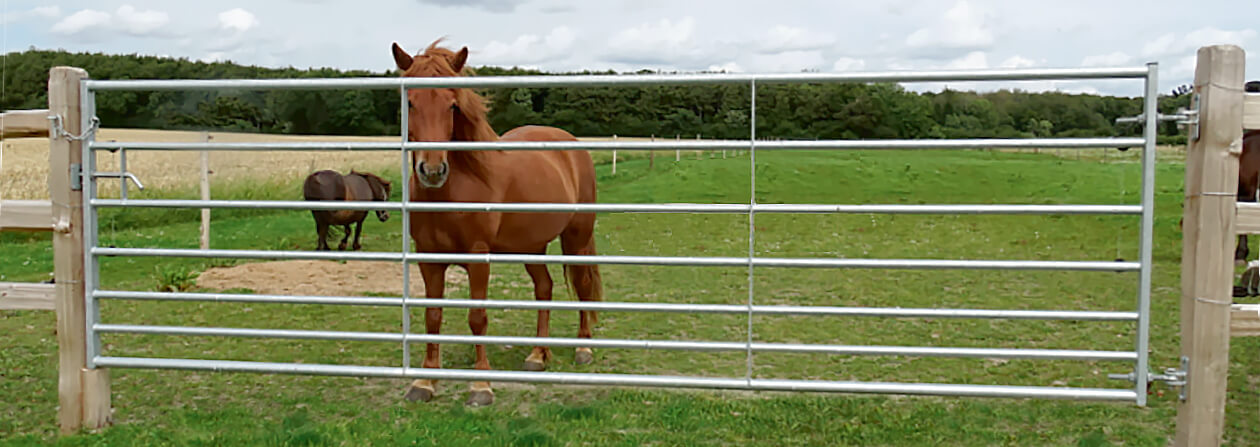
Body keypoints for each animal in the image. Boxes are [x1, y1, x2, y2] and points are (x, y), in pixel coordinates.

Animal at [393, 39, 604, 410]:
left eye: (452, 104)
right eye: (410, 102)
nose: (432, 171)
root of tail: (571, 145)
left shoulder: (479, 258)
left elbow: (477, 318)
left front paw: (481, 386)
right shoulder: (428, 259)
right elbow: (433, 316)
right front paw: (424, 381)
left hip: (576, 238)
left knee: (581, 286)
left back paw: (582, 348)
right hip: (531, 247)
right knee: (544, 288)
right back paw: (537, 355)